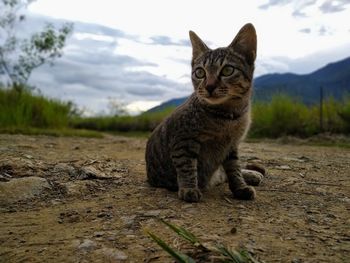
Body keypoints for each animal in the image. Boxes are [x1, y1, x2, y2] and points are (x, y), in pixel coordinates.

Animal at [146, 23, 258, 203]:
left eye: (227, 70)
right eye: (200, 72)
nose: (209, 86)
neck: (229, 116)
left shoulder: (232, 146)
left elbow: (234, 169)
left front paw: (240, 187)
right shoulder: (183, 141)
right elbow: (186, 166)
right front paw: (189, 188)